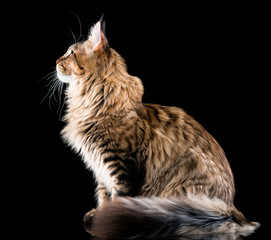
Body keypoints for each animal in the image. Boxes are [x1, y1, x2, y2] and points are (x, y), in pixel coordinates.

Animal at [54, 17, 260, 239]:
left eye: (71, 53)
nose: (56, 61)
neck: (94, 100)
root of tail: (231, 210)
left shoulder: (121, 165)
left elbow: (117, 199)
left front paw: (107, 223)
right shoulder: (101, 169)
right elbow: (103, 197)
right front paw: (99, 216)